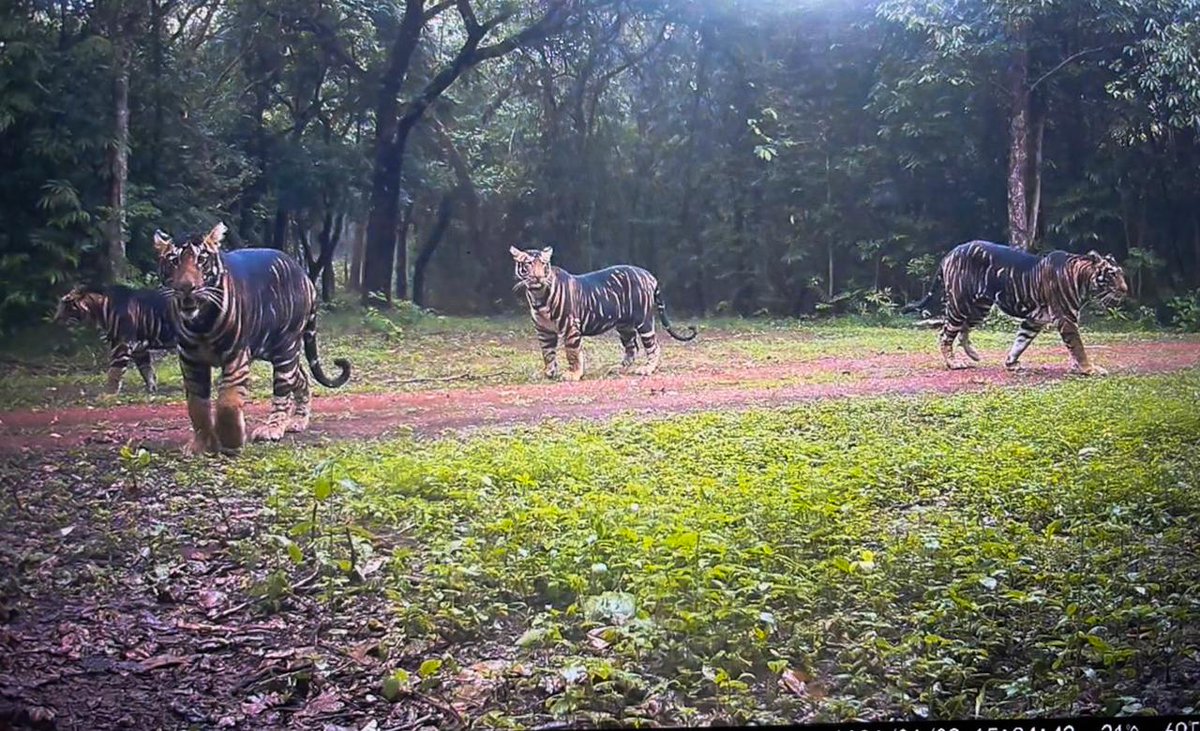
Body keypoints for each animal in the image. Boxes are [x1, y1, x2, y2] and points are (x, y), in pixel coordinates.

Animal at [153, 222, 351, 455]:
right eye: (174, 261)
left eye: (201, 259)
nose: (186, 287)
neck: (200, 323)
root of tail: (305, 276)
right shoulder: (190, 360)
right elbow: (196, 405)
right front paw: (201, 444)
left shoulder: (236, 356)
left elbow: (227, 401)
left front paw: (232, 441)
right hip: (274, 349)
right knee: (301, 377)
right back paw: (298, 421)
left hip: (285, 349)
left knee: (283, 391)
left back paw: (273, 429)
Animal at [509, 246, 697, 380]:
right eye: (528, 264)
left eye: (543, 264)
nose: (538, 277)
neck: (538, 296)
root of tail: (648, 274)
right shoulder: (544, 331)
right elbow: (547, 353)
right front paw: (548, 372)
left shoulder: (570, 327)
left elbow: (572, 353)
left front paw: (574, 374)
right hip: (624, 326)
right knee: (632, 347)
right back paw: (619, 368)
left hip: (643, 321)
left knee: (653, 346)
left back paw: (647, 369)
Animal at [905, 240, 1128, 375]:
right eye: (1112, 274)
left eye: (1121, 273)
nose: (1125, 290)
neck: (1083, 279)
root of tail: (950, 252)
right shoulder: (1066, 318)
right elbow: (1077, 346)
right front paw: (1088, 369)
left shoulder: (1034, 320)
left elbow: (1021, 341)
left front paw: (1011, 362)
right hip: (960, 305)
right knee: (945, 334)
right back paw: (953, 363)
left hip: (980, 308)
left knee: (964, 330)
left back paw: (974, 354)